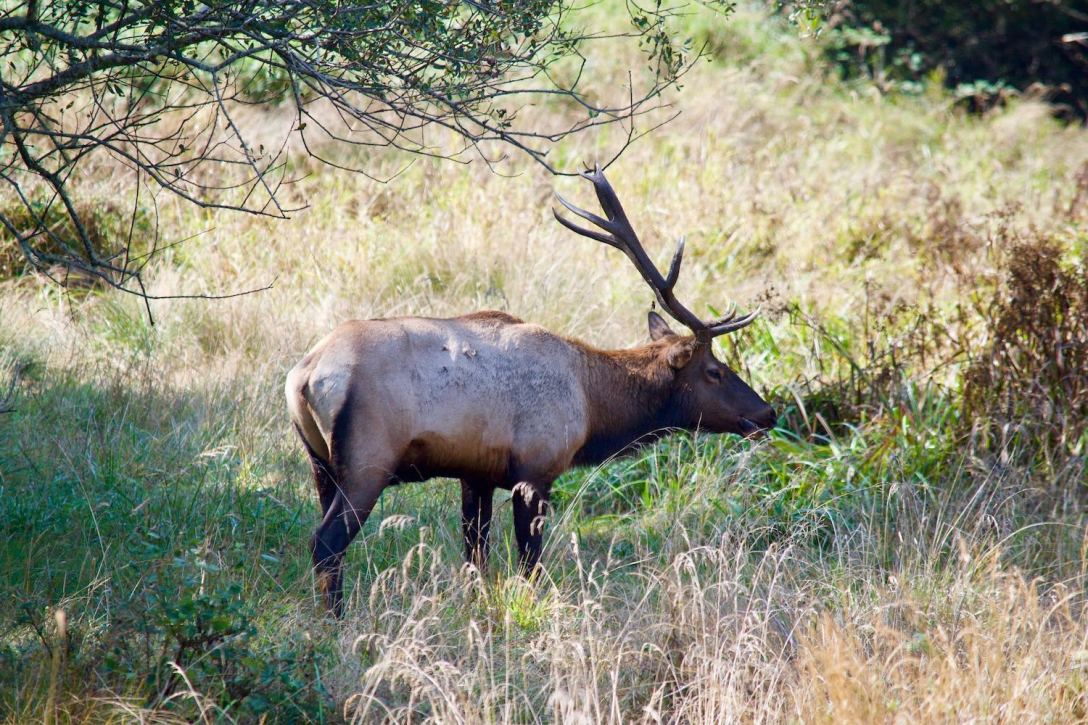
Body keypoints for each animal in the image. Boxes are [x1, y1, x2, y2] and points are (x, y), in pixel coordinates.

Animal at [285, 167, 777, 616]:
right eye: (715, 371)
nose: (767, 413)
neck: (592, 407)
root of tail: (305, 374)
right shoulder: (534, 471)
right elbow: (529, 566)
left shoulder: (476, 474)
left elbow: (476, 558)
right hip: (367, 461)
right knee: (326, 542)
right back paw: (338, 623)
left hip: (320, 463)